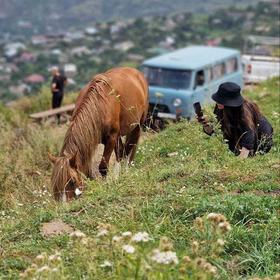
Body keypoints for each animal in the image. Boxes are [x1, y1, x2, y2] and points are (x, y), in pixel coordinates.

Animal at [48, 67, 149, 201]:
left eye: (72, 181)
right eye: (55, 187)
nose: (65, 205)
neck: (100, 104)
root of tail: (136, 72)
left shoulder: (111, 138)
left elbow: (103, 167)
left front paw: (105, 187)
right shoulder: (94, 140)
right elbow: (88, 172)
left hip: (137, 124)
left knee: (130, 147)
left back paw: (126, 170)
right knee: (121, 152)